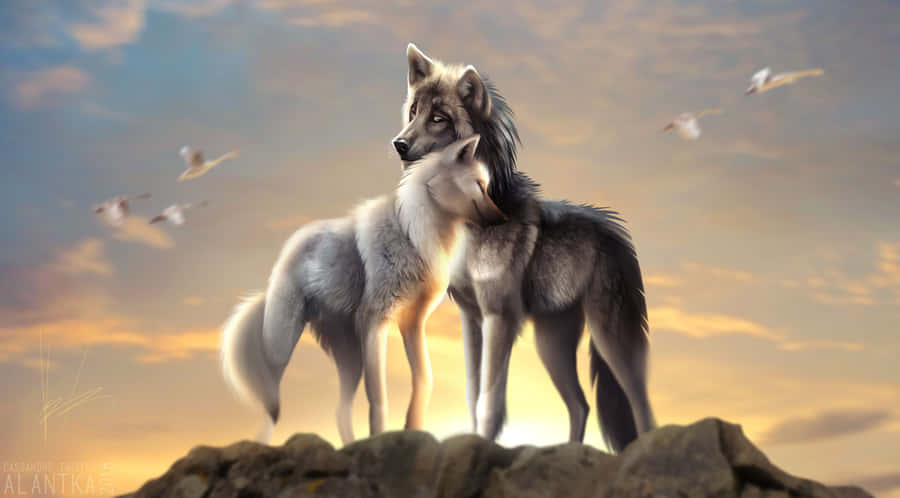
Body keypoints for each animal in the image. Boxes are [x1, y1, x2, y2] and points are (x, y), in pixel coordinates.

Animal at [220, 135, 505, 444]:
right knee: (271, 404)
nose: (504, 218)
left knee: (339, 410)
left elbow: (424, 379)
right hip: (282, 348)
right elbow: (378, 397)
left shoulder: (412, 323)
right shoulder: (375, 322)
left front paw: (412, 430)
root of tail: (290, 246)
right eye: (480, 185)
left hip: (351, 359)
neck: (413, 233)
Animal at [392, 44, 657, 452]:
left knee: (640, 402)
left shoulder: (499, 318)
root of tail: (618, 234)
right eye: (413, 112)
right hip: (551, 344)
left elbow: (489, 400)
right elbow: (472, 393)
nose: (399, 144)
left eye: (438, 118)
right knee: (580, 405)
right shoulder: (472, 318)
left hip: (611, 340)